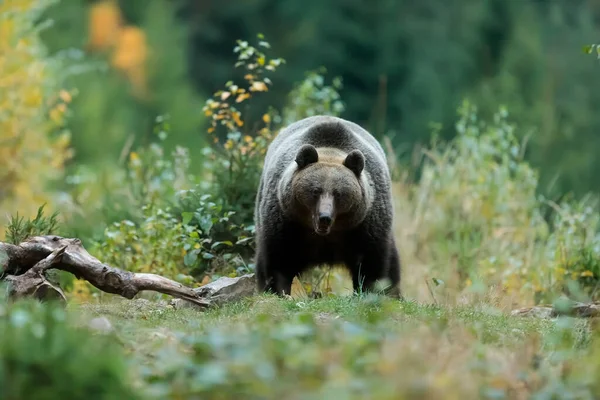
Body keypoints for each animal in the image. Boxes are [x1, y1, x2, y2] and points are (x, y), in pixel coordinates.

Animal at [253, 115, 404, 296]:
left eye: (339, 193)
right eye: (315, 190)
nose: (324, 217)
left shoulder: (366, 224)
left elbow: (372, 263)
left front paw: (371, 291)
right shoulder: (285, 220)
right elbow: (279, 258)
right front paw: (278, 290)